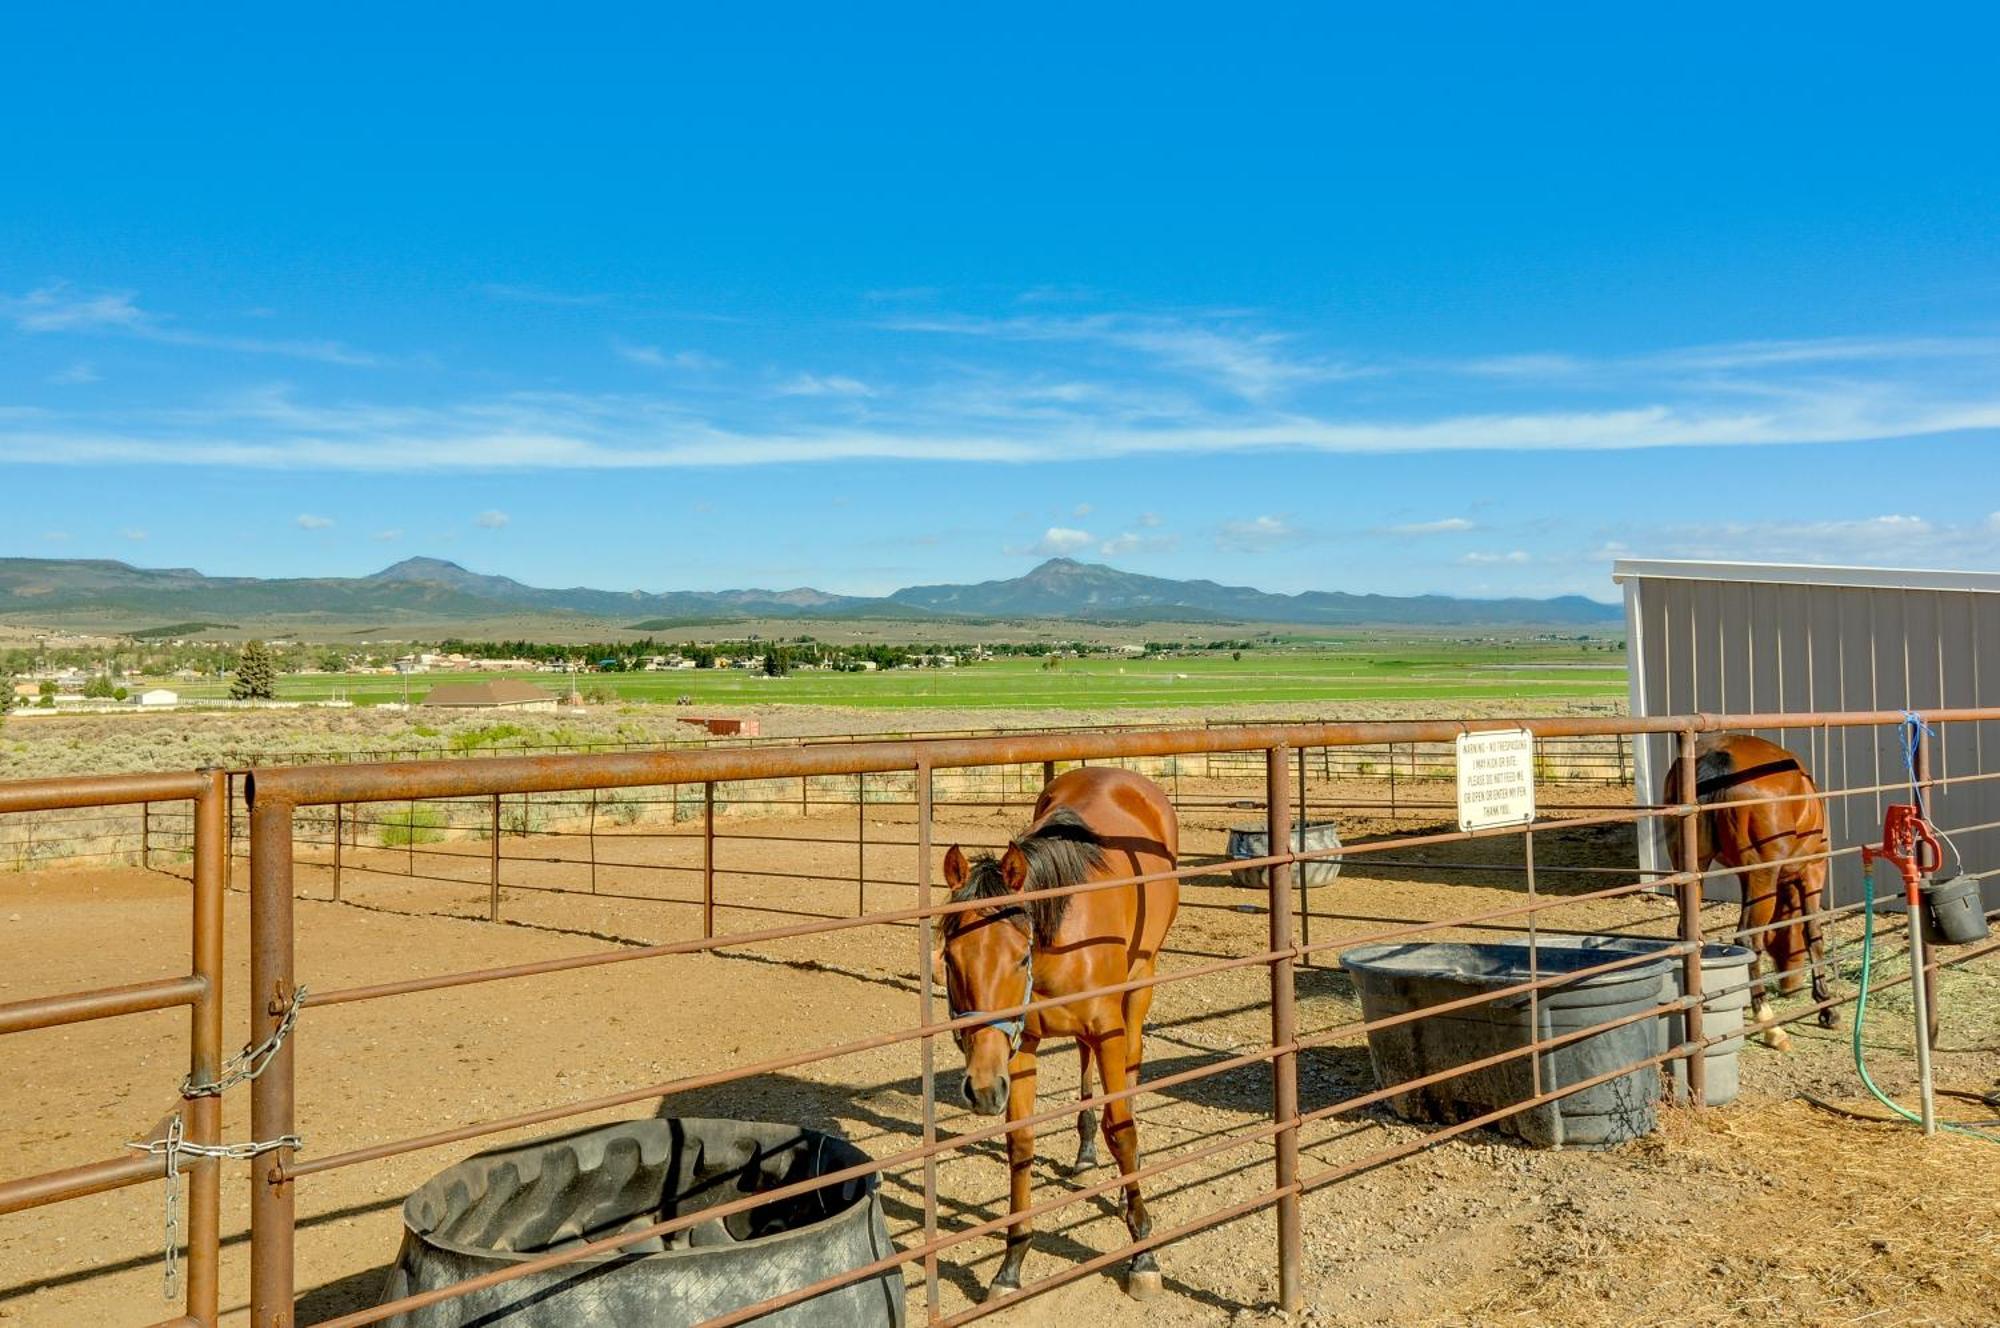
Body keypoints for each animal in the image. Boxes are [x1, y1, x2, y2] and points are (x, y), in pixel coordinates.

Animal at [944, 764, 1176, 1304]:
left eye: (1019, 957)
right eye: (948, 958)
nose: (980, 1090)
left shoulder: (1109, 1028)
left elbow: (1123, 1130)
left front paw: (1143, 1253)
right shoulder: (1017, 1045)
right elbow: (1021, 1143)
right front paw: (1010, 1265)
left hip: (1141, 985)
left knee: (1131, 1073)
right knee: (1084, 1064)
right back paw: (1086, 1153)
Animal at [1664, 732, 1832, 1040]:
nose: (1790, 987)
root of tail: (1719, 757)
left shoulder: (1747, 878)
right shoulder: (1813, 869)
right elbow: (1813, 931)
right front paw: (1827, 1006)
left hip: (1693, 868)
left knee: (1689, 933)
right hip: (1762, 873)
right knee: (1748, 938)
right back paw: (1769, 1023)